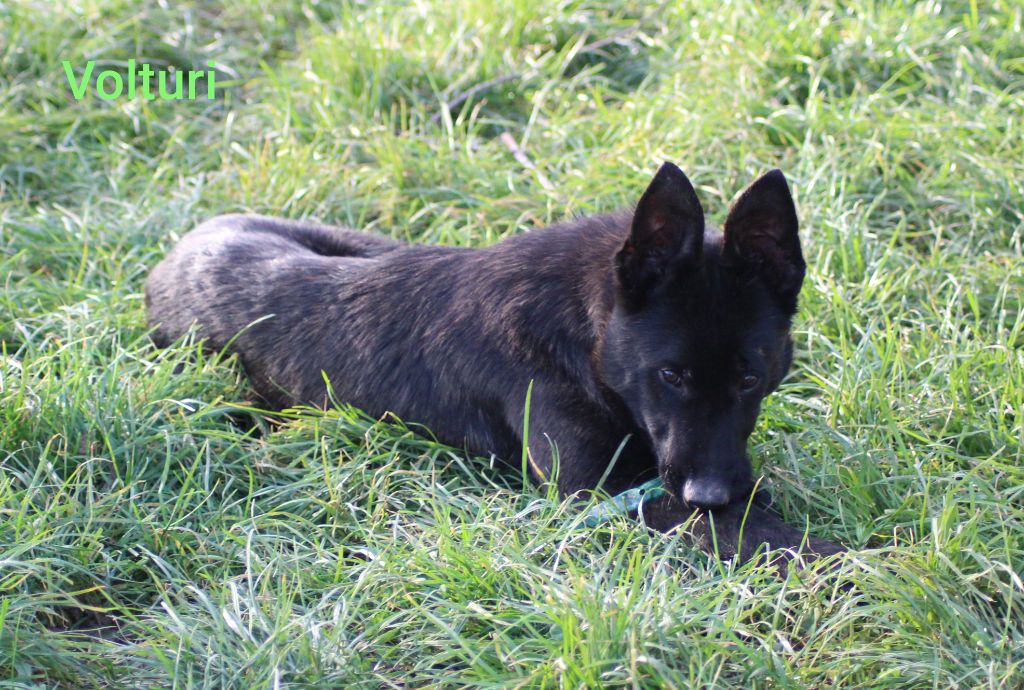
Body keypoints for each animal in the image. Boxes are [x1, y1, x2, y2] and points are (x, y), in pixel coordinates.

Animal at [146, 163, 847, 565]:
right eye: (670, 376)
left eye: (750, 378)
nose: (709, 492)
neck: (586, 335)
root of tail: (181, 248)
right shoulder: (604, 490)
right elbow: (743, 532)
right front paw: (837, 563)